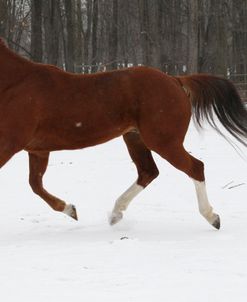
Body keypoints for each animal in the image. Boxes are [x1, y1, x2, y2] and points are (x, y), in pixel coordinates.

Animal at [0, 37, 247, 230]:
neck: (14, 84)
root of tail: (175, 80)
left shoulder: (10, 144)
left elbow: (35, 185)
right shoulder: (38, 150)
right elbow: (36, 185)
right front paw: (71, 210)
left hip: (163, 141)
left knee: (195, 167)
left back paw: (212, 218)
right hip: (135, 138)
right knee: (148, 172)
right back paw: (115, 214)